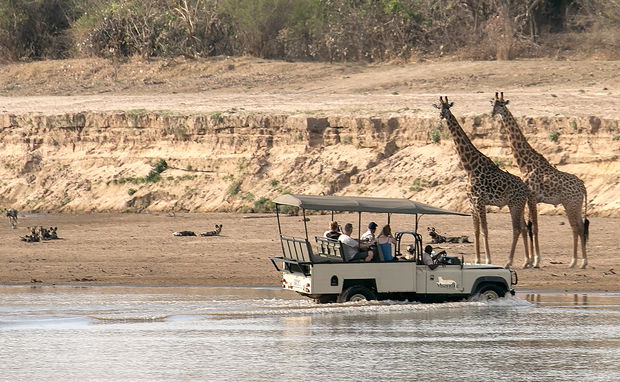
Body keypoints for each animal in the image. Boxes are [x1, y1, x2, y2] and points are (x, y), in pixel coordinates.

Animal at [434, 97, 532, 268]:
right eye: (438, 107)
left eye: (447, 107)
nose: (441, 115)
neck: (470, 168)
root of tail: (526, 189)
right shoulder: (472, 203)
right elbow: (476, 231)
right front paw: (477, 260)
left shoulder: (480, 201)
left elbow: (485, 230)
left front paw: (488, 260)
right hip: (518, 205)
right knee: (524, 227)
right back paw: (527, 262)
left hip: (515, 205)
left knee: (517, 229)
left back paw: (509, 262)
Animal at [492, 92, 588, 268]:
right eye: (493, 104)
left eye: (501, 104)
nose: (493, 113)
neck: (524, 163)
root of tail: (583, 187)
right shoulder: (531, 199)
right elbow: (530, 227)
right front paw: (530, 261)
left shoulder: (531, 197)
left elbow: (534, 228)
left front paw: (535, 260)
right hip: (576, 205)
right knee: (581, 226)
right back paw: (583, 262)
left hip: (570, 204)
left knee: (576, 227)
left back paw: (575, 262)